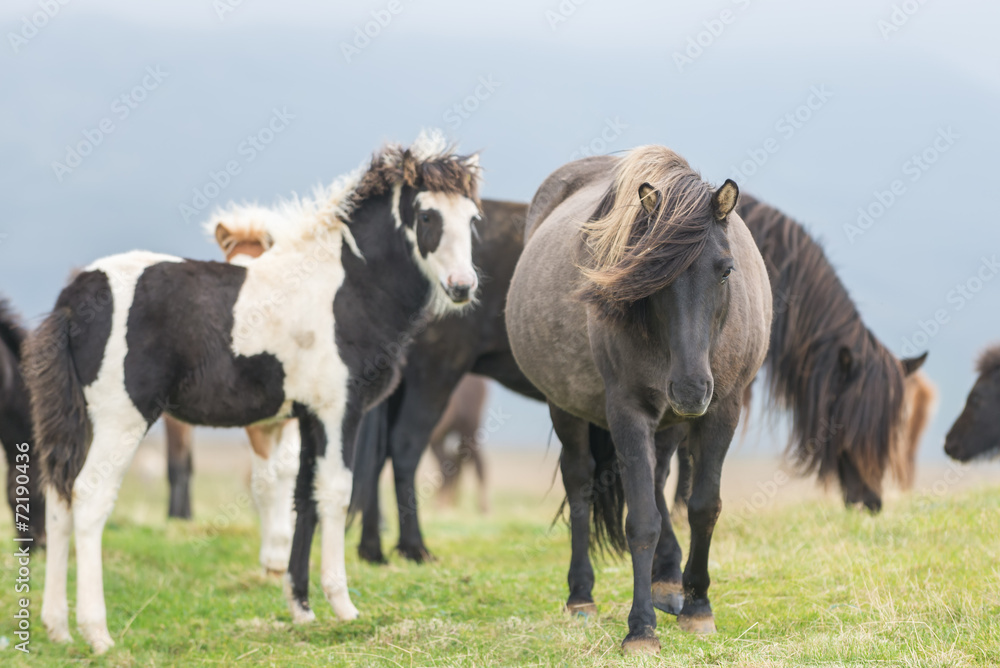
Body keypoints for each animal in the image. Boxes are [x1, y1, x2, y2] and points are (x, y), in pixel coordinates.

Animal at [23, 130, 483, 654]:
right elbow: (335, 493)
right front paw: (343, 606)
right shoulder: (338, 411)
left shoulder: (306, 417)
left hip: (77, 422)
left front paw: (301, 608)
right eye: (426, 216)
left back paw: (58, 628)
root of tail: (75, 297)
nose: (463, 287)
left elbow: (303, 497)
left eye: (472, 219)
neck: (346, 289)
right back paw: (97, 633)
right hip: (121, 419)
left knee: (59, 500)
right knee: (89, 500)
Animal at [506, 148, 772, 652]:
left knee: (660, 477)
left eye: (726, 270)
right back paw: (582, 597)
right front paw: (641, 628)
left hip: (670, 423)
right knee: (580, 483)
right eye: (652, 276)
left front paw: (697, 608)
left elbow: (702, 507)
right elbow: (641, 520)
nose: (690, 389)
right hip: (567, 409)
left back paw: (667, 583)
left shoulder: (722, 410)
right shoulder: (627, 413)